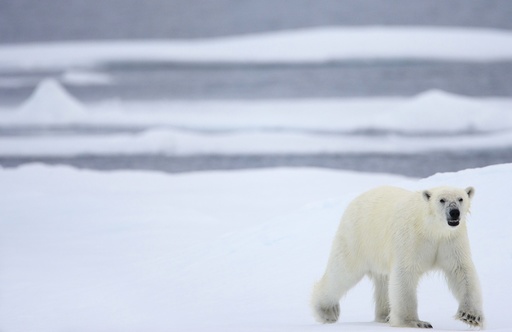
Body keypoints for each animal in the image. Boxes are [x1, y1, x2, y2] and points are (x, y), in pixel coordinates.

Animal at [312, 185, 484, 328]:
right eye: (442, 200)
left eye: (461, 198)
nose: (454, 212)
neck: (431, 228)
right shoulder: (411, 239)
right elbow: (405, 274)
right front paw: (414, 322)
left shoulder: (451, 241)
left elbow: (461, 271)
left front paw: (470, 316)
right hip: (358, 238)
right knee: (342, 272)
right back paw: (327, 311)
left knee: (383, 281)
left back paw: (384, 316)